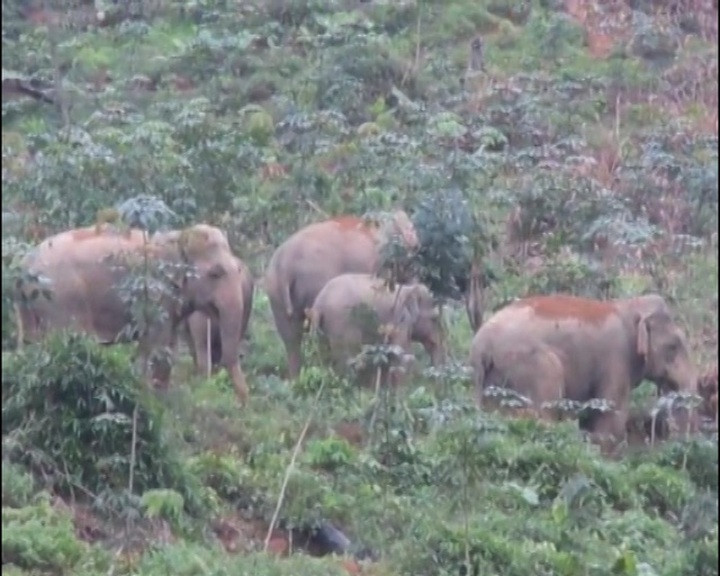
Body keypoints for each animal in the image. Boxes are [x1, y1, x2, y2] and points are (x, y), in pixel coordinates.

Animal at [14, 223, 250, 403]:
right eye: (216, 273)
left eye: (239, 270)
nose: (242, 401)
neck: (178, 237)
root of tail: (26, 265)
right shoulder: (155, 293)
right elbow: (156, 343)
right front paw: (151, 397)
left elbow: (168, 345)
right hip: (62, 298)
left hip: (29, 305)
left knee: (29, 343)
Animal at [264, 210, 419, 379]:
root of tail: (284, 265)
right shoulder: (381, 264)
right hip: (314, 283)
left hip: (276, 294)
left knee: (291, 338)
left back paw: (296, 378)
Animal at [310, 273, 445, 386]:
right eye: (435, 319)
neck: (408, 289)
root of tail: (319, 305)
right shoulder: (400, 321)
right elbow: (400, 354)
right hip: (342, 325)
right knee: (349, 360)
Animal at [469, 293, 698, 448]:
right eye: (673, 346)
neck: (630, 305)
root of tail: (482, 345)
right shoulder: (615, 358)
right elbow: (610, 416)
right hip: (532, 365)